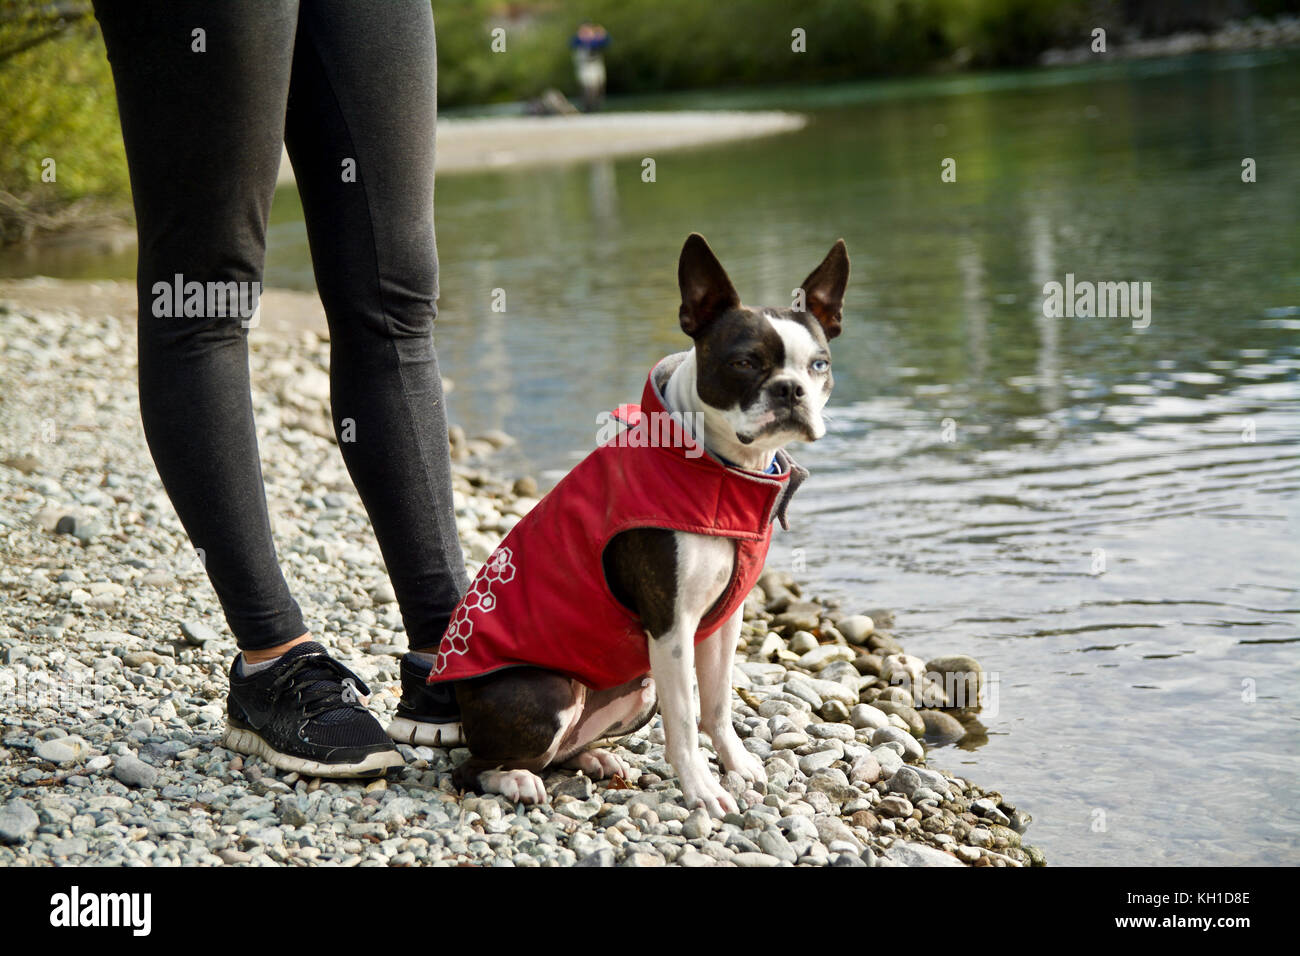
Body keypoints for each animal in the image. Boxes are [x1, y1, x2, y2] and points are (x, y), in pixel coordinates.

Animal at [431, 234, 847, 816]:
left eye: (819, 364)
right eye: (744, 362)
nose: (791, 390)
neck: (721, 470)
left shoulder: (726, 622)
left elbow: (717, 704)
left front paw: (737, 766)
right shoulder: (671, 626)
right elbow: (686, 719)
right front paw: (702, 790)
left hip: (636, 691)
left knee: (559, 752)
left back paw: (592, 758)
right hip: (547, 692)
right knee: (473, 766)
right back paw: (513, 780)